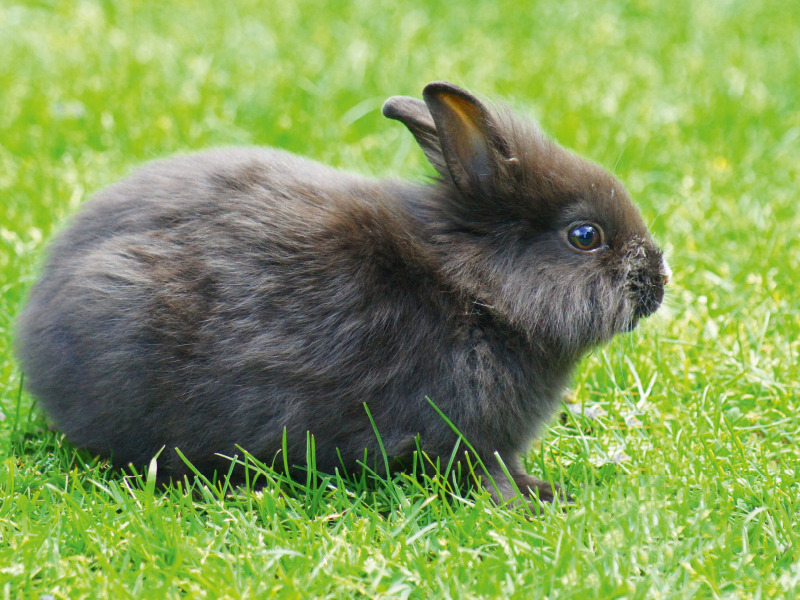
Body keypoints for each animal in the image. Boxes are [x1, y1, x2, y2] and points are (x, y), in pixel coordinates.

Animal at [15, 82, 672, 504]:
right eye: (585, 236)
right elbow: (487, 473)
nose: (660, 278)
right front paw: (534, 500)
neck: (479, 291)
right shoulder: (466, 437)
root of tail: (36, 327)